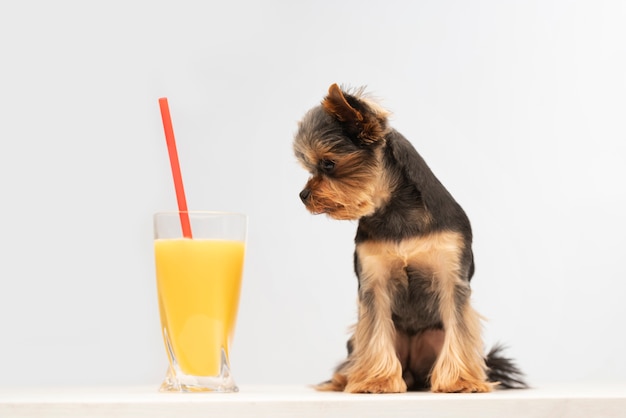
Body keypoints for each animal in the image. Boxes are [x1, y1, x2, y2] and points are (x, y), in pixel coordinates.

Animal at [292, 84, 520, 392]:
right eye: (309, 167)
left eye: (328, 164)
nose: (303, 196)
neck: (395, 209)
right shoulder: (374, 282)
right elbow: (374, 333)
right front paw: (376, 380)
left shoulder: (451, 276)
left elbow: (460, 331)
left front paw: (460, 380)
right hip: (365, 339)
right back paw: (347, 378)